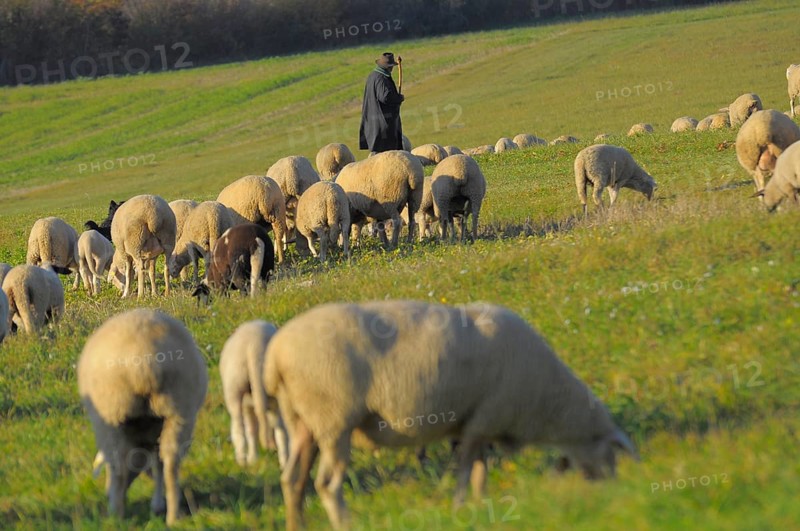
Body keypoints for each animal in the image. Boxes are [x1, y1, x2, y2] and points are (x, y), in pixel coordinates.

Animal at [77, 308, 208, 526]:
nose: (105, 493)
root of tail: (144, 365)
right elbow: (157, 464)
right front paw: (157, 504)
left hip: (110, 416)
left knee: (118, 466)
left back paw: (116, 515)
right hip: (179, 410)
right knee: (170, 463)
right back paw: (172, 517)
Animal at [220, 320, 288, 467]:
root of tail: (254, 346)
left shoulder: (247, 405)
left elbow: (252, 430)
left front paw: (252, 458)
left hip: (234, 385)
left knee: (238, 426)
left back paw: (241, 460)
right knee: (280, 429)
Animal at [264, 300, 639, 530]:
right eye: (610, 455)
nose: (609, 492)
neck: (549, 403)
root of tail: (276, 356)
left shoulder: (477, 424)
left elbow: (478, 472)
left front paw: (480, 506)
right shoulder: (484, 419)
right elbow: (467, 471)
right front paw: (462, 508)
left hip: (303, 424)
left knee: (292, 479)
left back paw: (296, 525)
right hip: (333, 420)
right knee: (326, 483)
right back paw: (346, 523)